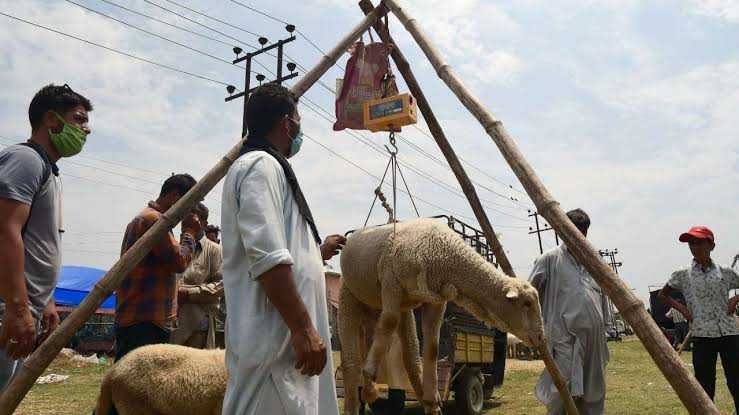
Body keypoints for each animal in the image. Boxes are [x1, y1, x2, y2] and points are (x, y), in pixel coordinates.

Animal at [340, 219, 544, 414]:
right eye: (527, 303)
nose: (541, 338)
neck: (444, 253)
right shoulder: (391, 284)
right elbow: (390, 320)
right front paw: (368, 376)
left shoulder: (436, 300)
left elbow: (432, 349)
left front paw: (432, 400)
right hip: (349, 295)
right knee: (351, 363)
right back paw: (355, 400)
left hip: (396, 307)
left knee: (410, 356)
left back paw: (420, 399)